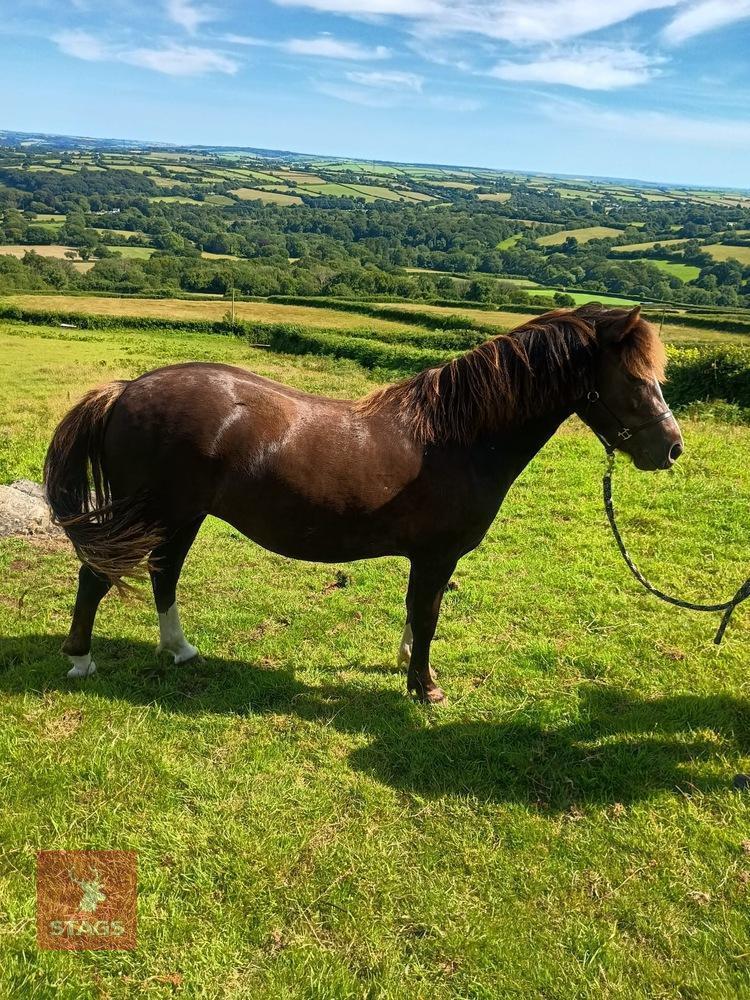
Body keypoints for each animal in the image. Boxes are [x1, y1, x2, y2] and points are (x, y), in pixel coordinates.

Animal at [44, 303, 683, 702]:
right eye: (634, 380)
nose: (672, 448)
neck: (457, 437)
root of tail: (124, 390)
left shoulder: (428, 558)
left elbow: (415, 614)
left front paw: (407, 665)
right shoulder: (436, 556)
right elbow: (427, 616)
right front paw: (425, 687)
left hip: (180, 517)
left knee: (164, 574)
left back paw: (179, 650)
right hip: (148, 514)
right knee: (98, 574)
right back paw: (80, 659)